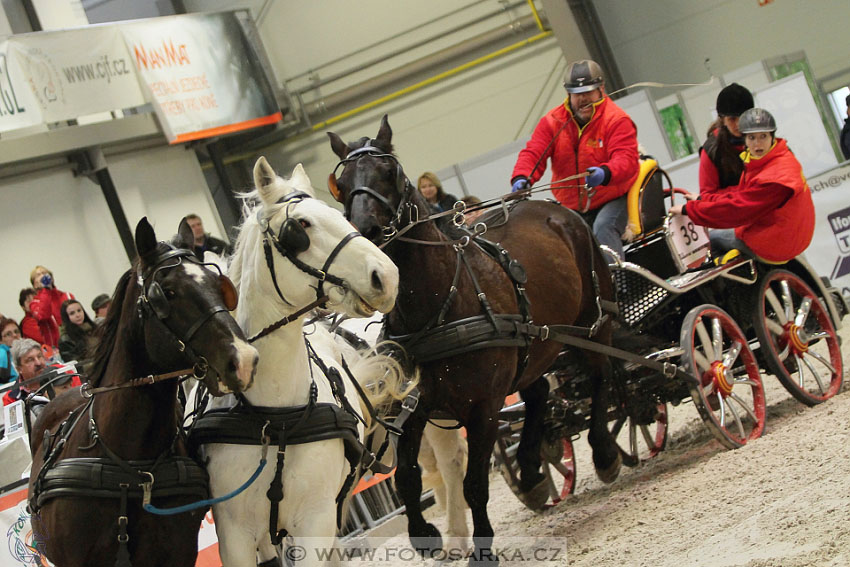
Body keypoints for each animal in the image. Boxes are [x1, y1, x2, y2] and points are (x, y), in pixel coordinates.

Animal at [200, 158, 410, 564]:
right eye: (302, 226)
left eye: (337, 212)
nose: (388, 276)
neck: (274, 419)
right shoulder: (233, 532)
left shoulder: (315, 519)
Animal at [328, 115, 620, 564]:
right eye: (341, 184)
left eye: (389, 171)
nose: (367, 232)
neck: (441, 303)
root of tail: (555, 210)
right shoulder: (413, 407)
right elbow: (408, 478)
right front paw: (425, 534)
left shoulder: (483, 408)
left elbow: (474, 485)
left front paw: (482, 547)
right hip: (532, 347)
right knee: (538, 395)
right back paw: (532, 472)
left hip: (593, 322)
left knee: (601, 376)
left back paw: (604, 453)